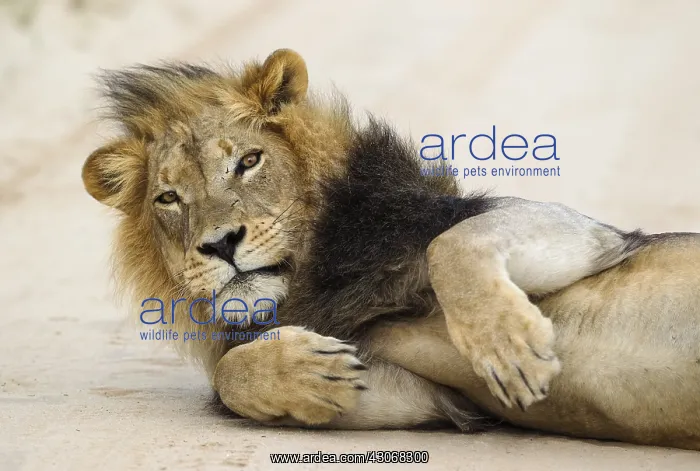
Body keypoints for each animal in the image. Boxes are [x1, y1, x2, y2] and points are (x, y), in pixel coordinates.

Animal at [82, 49, 700, 450]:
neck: (314, 276)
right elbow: (230, 376)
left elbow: (451, 245)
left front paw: (512, 349)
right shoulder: (427, 397)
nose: (219, 243)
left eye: (249, 161)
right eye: (168, 198)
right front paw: (311, 373)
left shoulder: (593, 237)